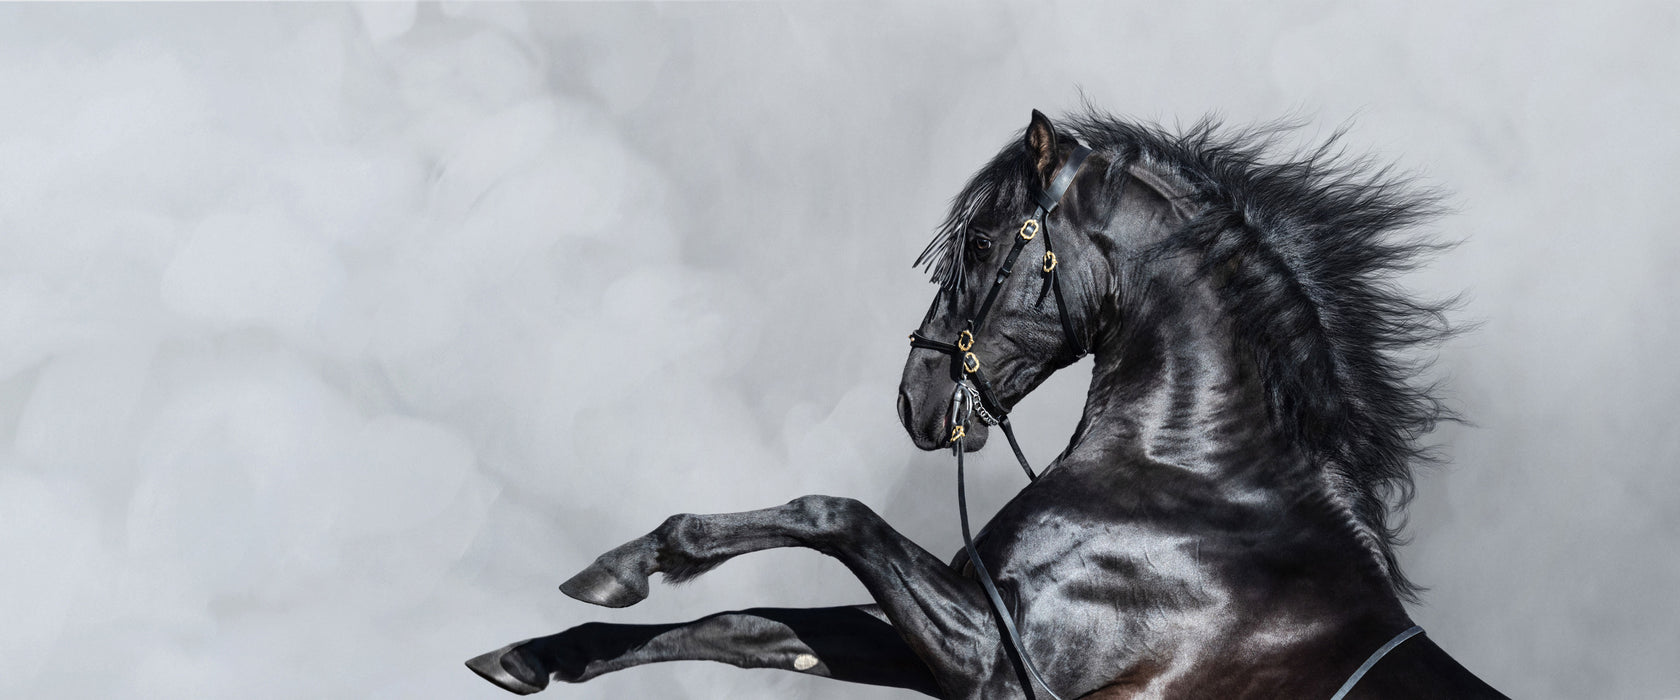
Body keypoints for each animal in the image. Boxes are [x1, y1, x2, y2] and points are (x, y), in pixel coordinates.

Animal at [463, 111, 1512, 694]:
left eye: (977, 244)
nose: (917, 397)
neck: (1197, 487)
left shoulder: (998, 663)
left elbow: (830, 514)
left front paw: (641, 560)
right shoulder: (971, 636)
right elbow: (751, 631)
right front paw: (543, 646)